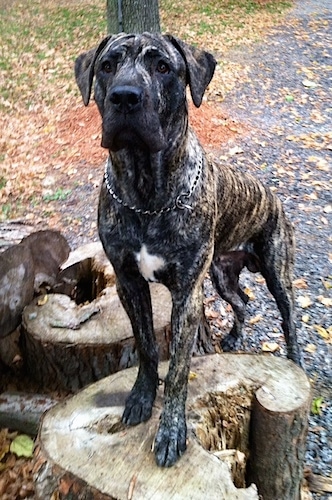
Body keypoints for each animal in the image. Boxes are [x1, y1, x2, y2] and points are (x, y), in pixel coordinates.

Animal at [75, 33, 304, 466]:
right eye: (108, 66)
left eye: (163, 67)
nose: (125, 97)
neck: (146, 194)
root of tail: (273, 196)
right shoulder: (129, 284)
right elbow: (147, 348)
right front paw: (141, 397)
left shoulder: (186, 295)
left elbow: (180, 368)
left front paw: (171, 431)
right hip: (221, 276)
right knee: (242, 301)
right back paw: (231, 340)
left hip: (275, 271)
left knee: (288, 318)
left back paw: (296, 361)